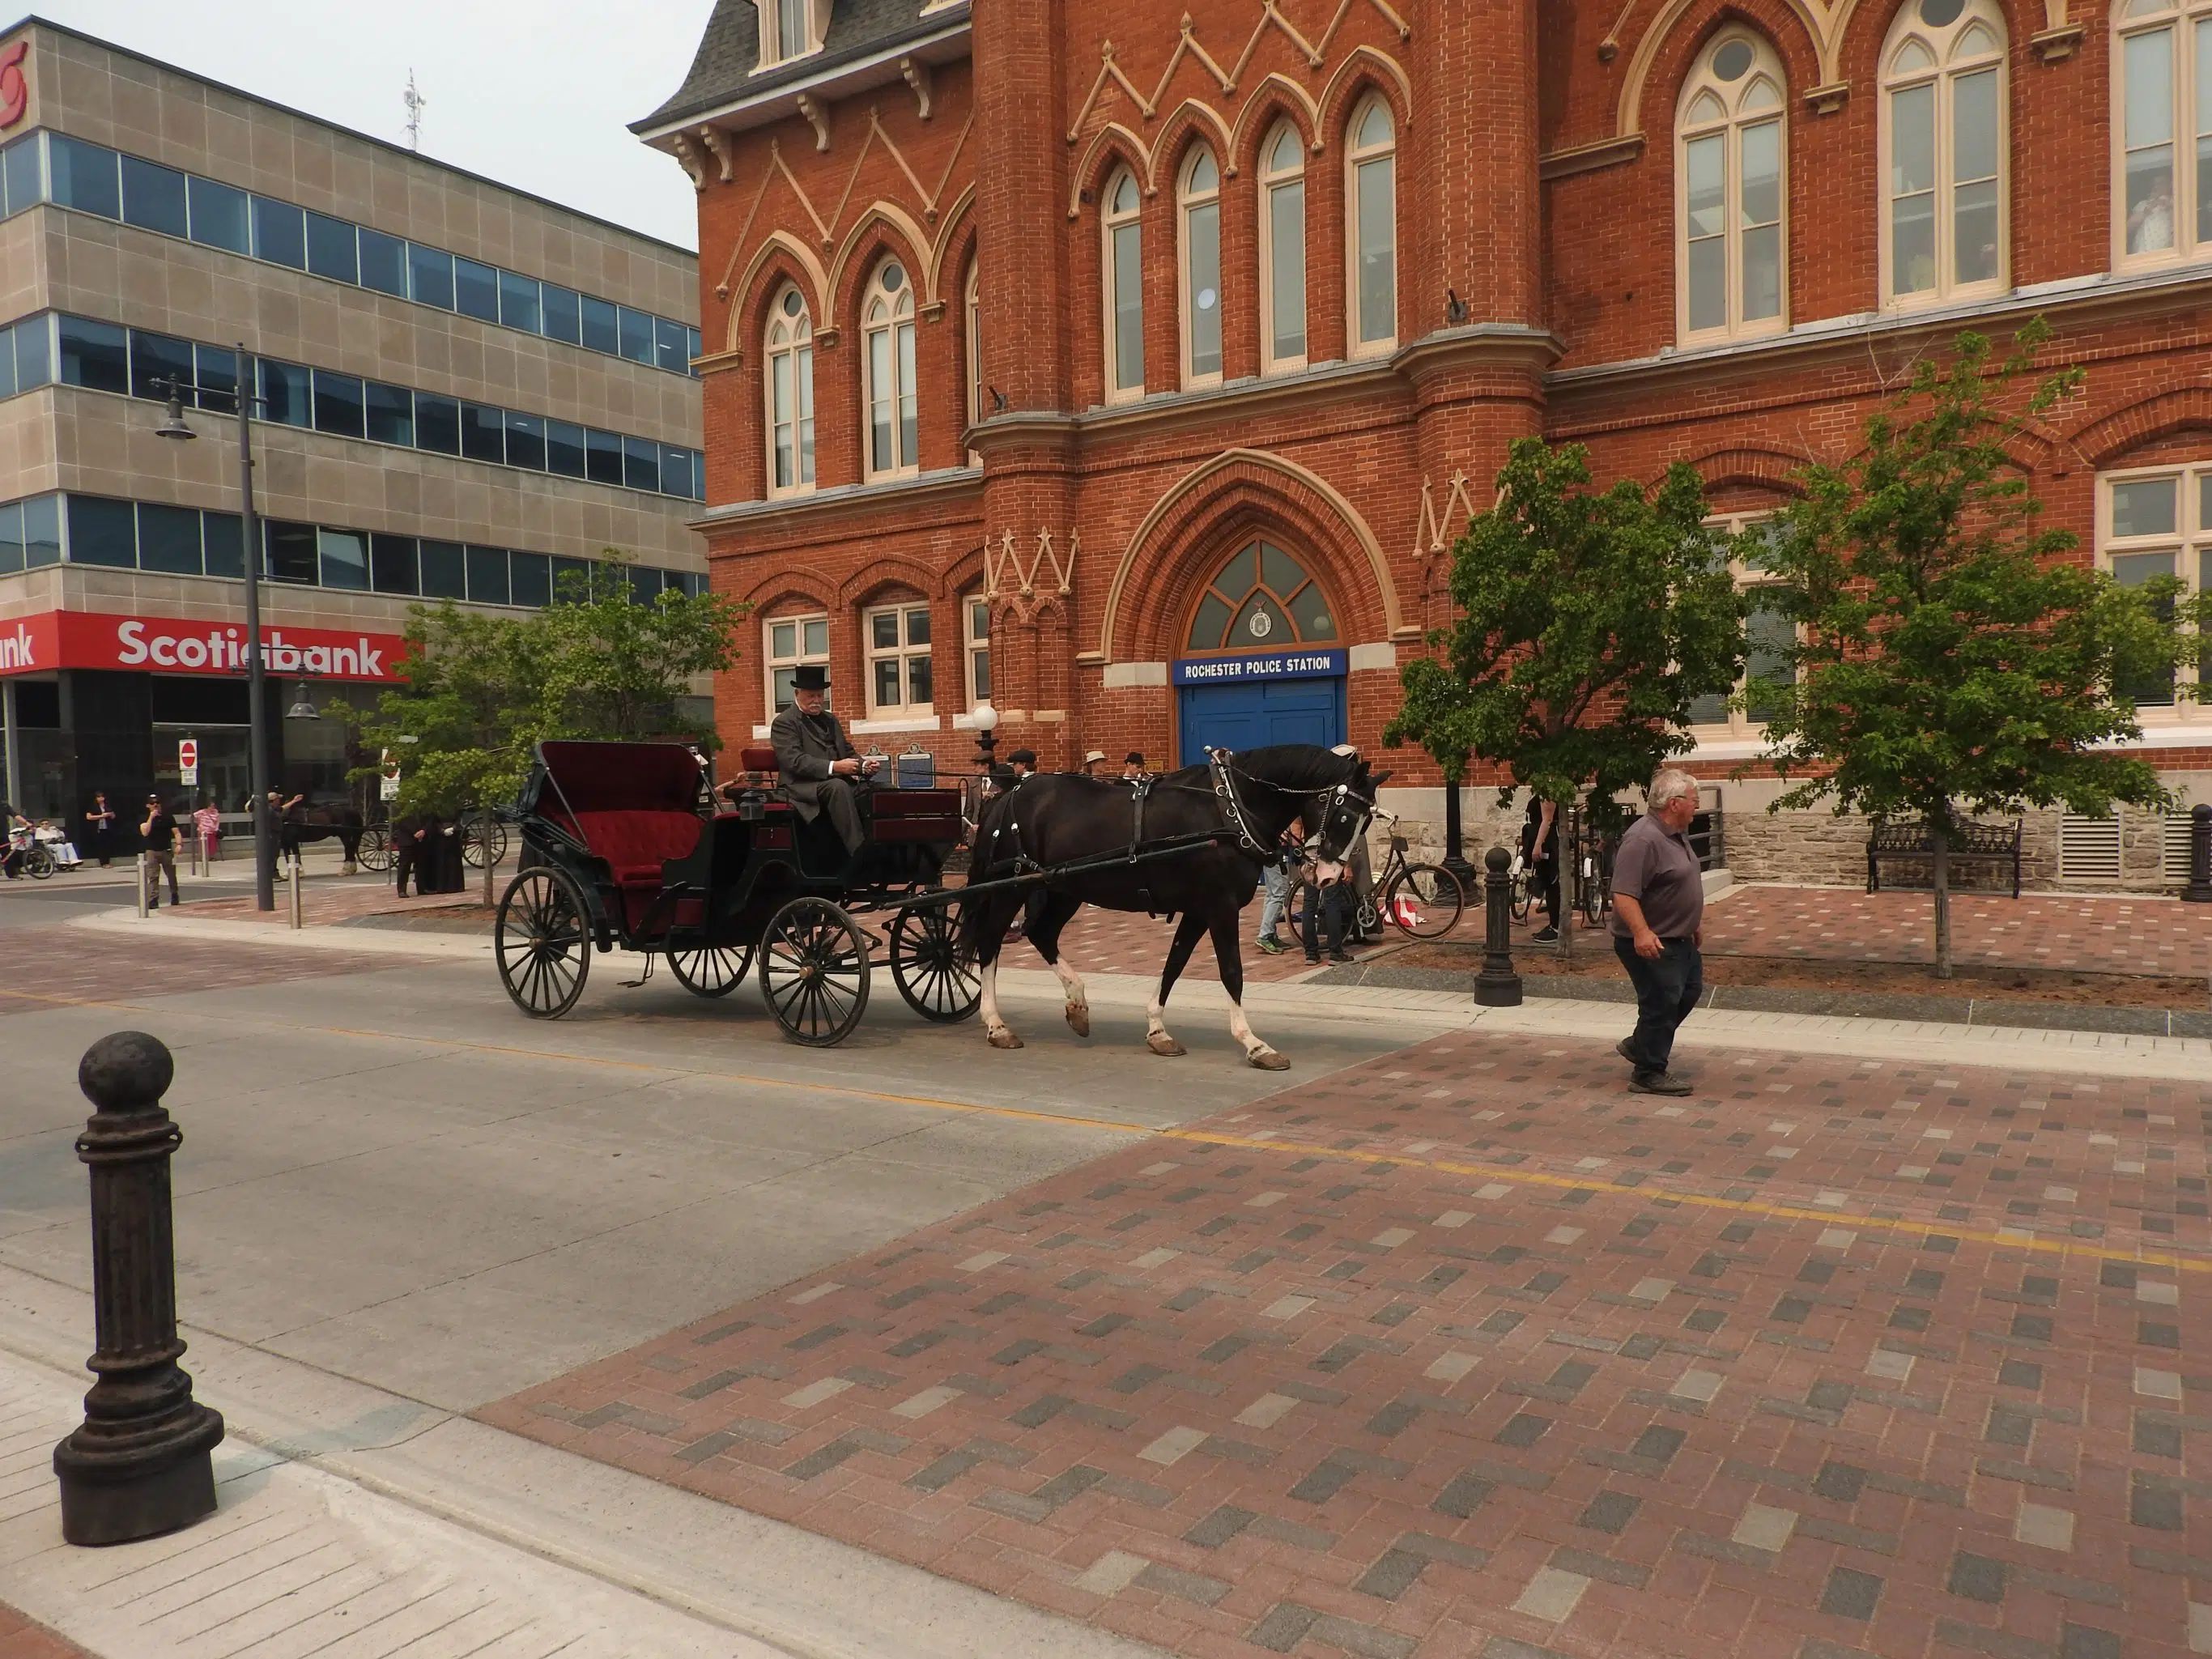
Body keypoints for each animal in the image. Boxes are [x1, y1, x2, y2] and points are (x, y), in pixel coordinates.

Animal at [959, 747, 1389, 1070]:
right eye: (1345, 815)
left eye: (1367, 821)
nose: (1330, 877)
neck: (1231, 809)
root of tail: (1008, 796)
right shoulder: (1220, 906)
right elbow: (1232, 973)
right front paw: (1254, 1044)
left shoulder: (1198, 909)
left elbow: (1175, 964)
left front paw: (1157, 1030)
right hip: (1012, 887)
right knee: (991, 941)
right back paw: (996, 1024)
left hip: (1064, 888)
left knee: (1041, 932)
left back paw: (1077, 1003)